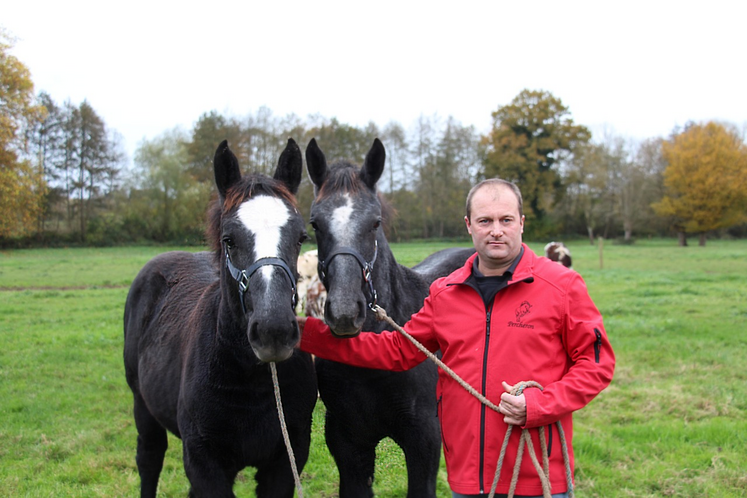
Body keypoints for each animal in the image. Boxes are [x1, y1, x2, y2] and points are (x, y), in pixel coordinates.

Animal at [124, 138, 318, 496]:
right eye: (229, 239)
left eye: (301, 237)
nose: (273, 331)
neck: (251, 381)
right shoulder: (203, 462)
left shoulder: (288, 457)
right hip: (142, 406)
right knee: (149, 460)